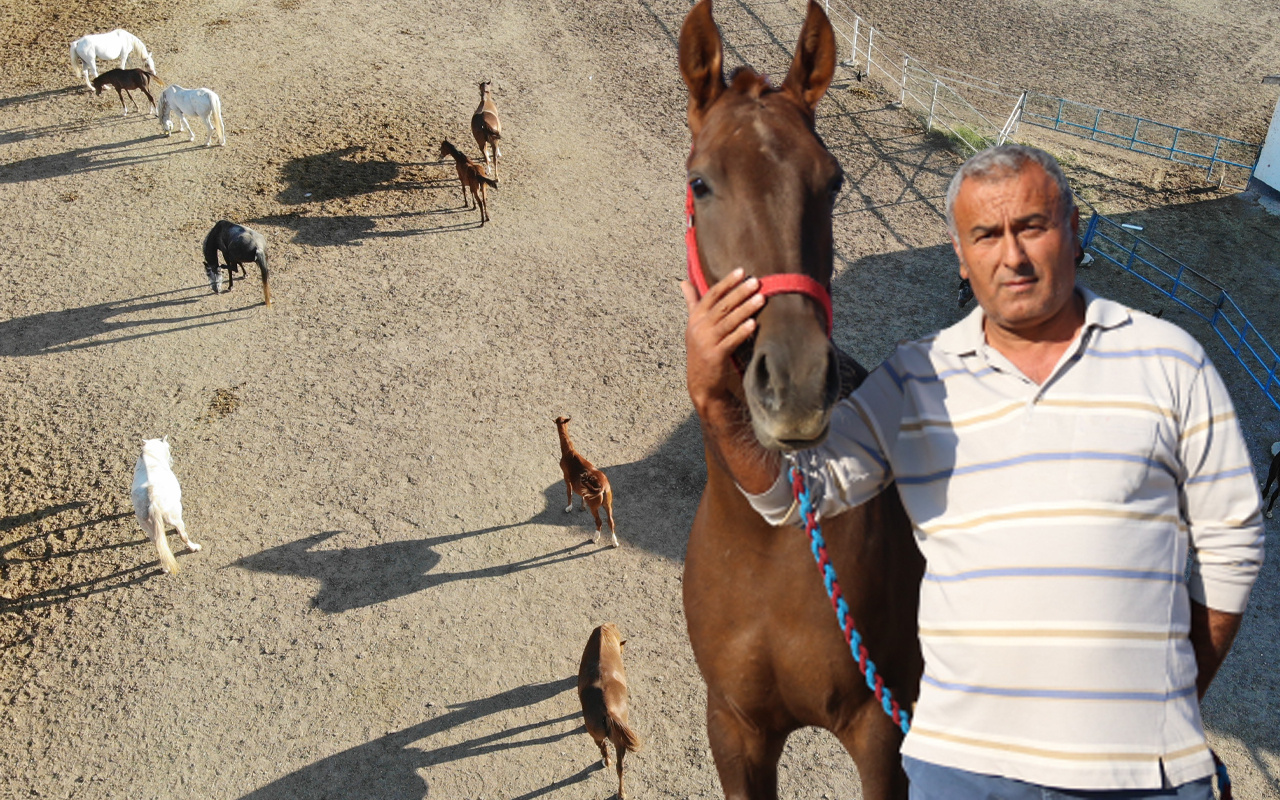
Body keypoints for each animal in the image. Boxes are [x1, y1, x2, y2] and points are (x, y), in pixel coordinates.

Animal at [680, 3, 921, 793]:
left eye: (834, 181)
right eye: (701, 183)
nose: (795, 385)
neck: (769, 549)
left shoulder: (882, 734)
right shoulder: (735, 729)